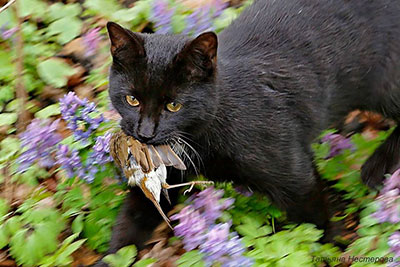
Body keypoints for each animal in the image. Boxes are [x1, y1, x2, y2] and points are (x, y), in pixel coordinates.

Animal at [97, 0, 400, 264]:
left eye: (173, 105)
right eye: (131, 100)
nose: (145, 133)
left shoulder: (293, 172)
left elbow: (313, 219)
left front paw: (327, 249)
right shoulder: (167, 170)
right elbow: (135, 214)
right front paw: (112, 258)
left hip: (383, 84)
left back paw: (376, 166)